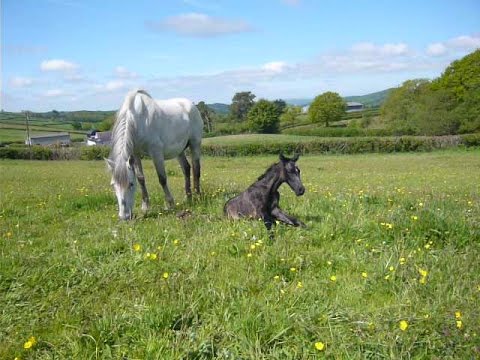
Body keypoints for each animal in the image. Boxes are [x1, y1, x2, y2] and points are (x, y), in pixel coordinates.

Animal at [106, 90, 203, 219]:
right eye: (113, 185)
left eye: (131, 184)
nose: (124, 217)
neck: (138, 120)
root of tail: (192, 105)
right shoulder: (135, 153)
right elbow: (141, 178)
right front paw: (145, 207)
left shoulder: (156, 152)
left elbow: (162, 178)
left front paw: (170, 204)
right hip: (179, 150)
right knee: (186, 168)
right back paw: (188, 197)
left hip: (195, 144)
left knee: (196, 169)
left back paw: (198, 196)